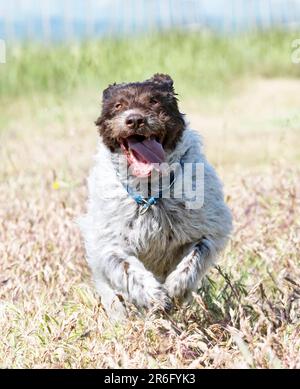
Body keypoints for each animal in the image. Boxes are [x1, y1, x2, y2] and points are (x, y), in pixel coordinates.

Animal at [79, 73, 232, 318]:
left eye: (154, 101)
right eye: (118, 105)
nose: (135, 120)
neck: (150, 195)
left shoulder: (208, 230)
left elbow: (195, 257)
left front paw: (176, 289)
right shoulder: (108, 244)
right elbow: (126, 268)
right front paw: (155, 297)